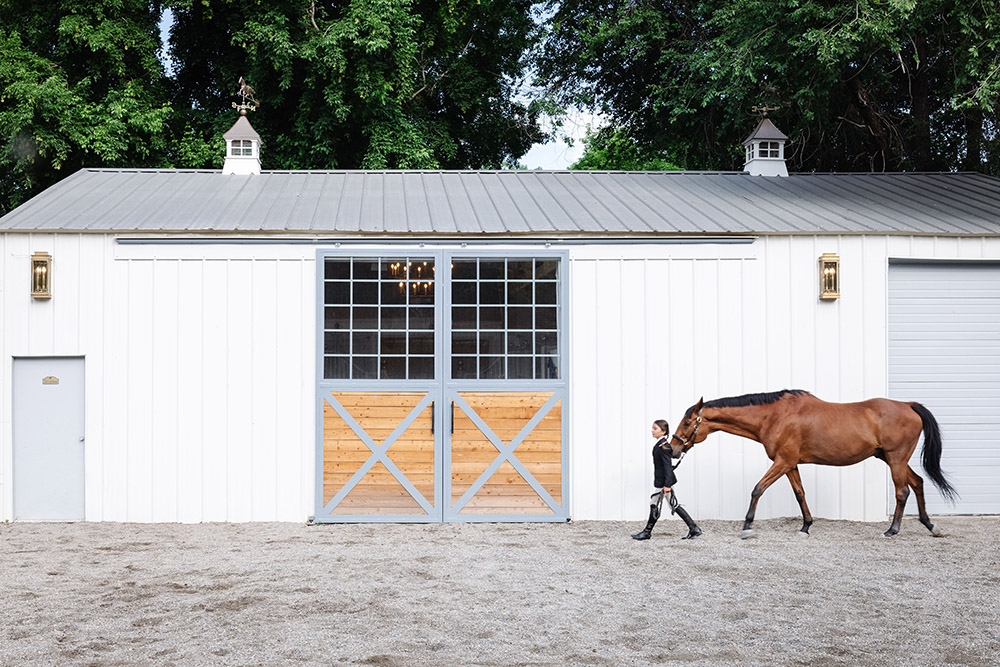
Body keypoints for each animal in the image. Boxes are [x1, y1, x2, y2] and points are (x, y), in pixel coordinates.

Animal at [668, 392, 956, 536]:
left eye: (687, 422)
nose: (672, 449)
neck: (775, 415)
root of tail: (908, 405)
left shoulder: (782, 462)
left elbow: (757, 489)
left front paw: (747, 525)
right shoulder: (790, 464)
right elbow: (800, 493)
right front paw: (806, 526)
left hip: (896, 458)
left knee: (902, 491)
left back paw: (892, 530)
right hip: (891, 457)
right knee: (917, 483)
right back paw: (930, 525)